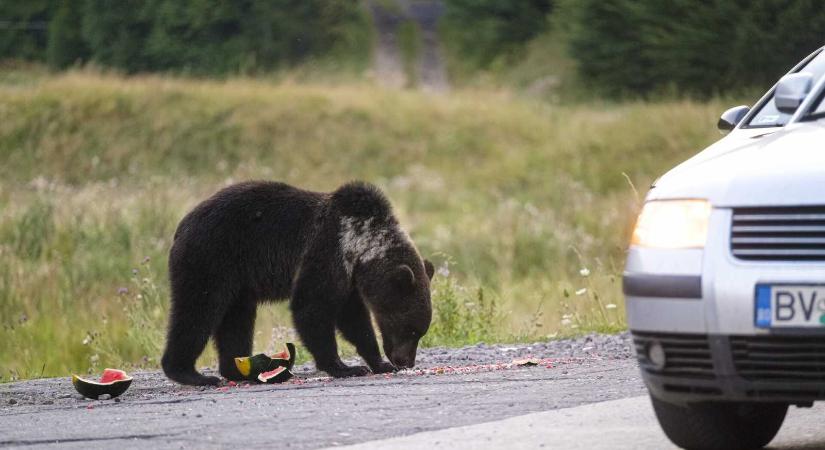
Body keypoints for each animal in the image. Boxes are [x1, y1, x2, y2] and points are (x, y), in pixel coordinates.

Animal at [158, 181, 434, 384]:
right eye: (410, 329)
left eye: (419, 331)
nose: (405, 361)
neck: (359, 246)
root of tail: (181, 226)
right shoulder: (327, 250)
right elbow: (311, 306)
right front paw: (344, 367)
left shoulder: (349, 279)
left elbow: (354, 320)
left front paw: (378, 363)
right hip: (210, 259)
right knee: (197, 311)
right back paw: (190, 373)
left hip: (237, 283)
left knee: (236, 322)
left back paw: (237, 369)